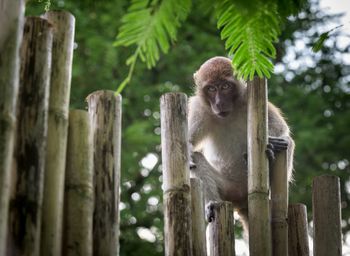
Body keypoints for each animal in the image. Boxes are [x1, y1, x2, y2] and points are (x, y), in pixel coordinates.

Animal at [187, 57, 294, 231]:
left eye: (225, 86)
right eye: (211, 88)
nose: (219, 103)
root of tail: (244, 201)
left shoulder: (251, 97)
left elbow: (281, 130)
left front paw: (271, 143)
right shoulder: (199, 109)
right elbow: (188, 144)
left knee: (287, 143)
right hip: (228, 190)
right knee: (195, 159)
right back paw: (212, 202)